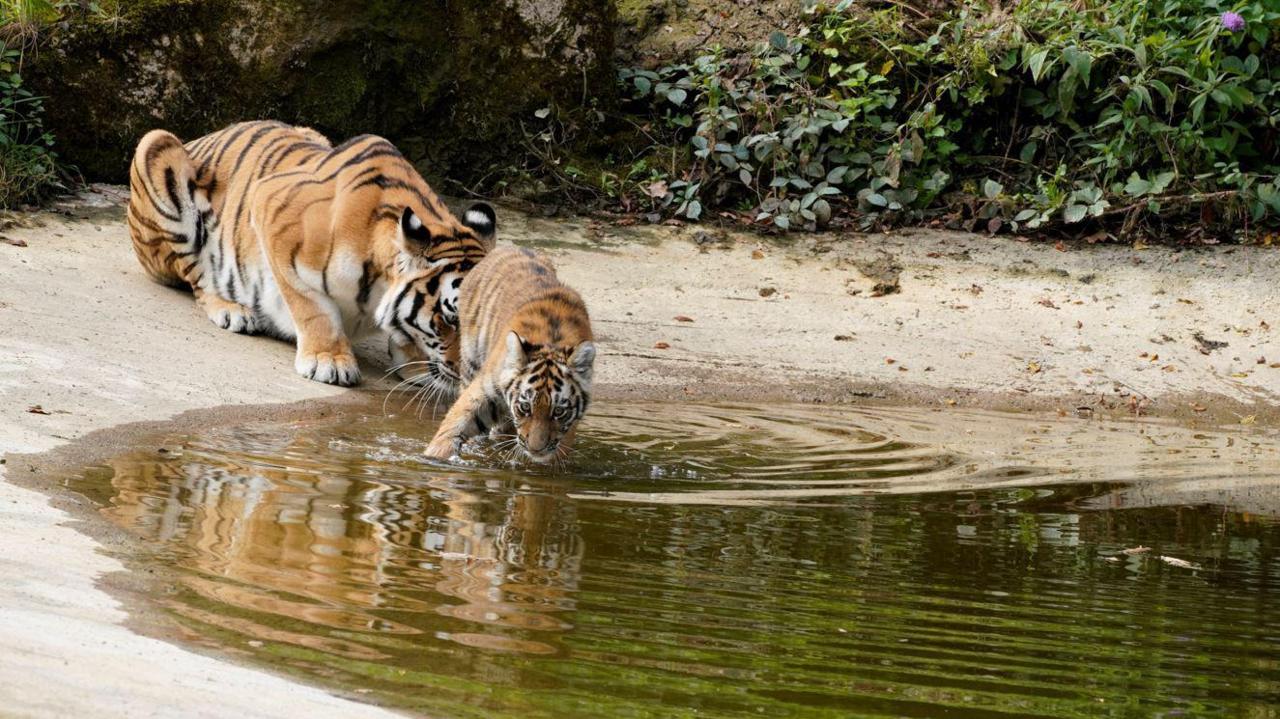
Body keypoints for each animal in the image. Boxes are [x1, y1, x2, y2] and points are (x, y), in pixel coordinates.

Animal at [126, 120, 494, 386]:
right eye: (450, 320)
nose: (471, 375)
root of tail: (200, 138)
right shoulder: (271, 209)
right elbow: (313, 307)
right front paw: (328, 361)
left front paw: (415, 364)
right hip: (156, 146)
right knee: (197, 275)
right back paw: (232, 309)